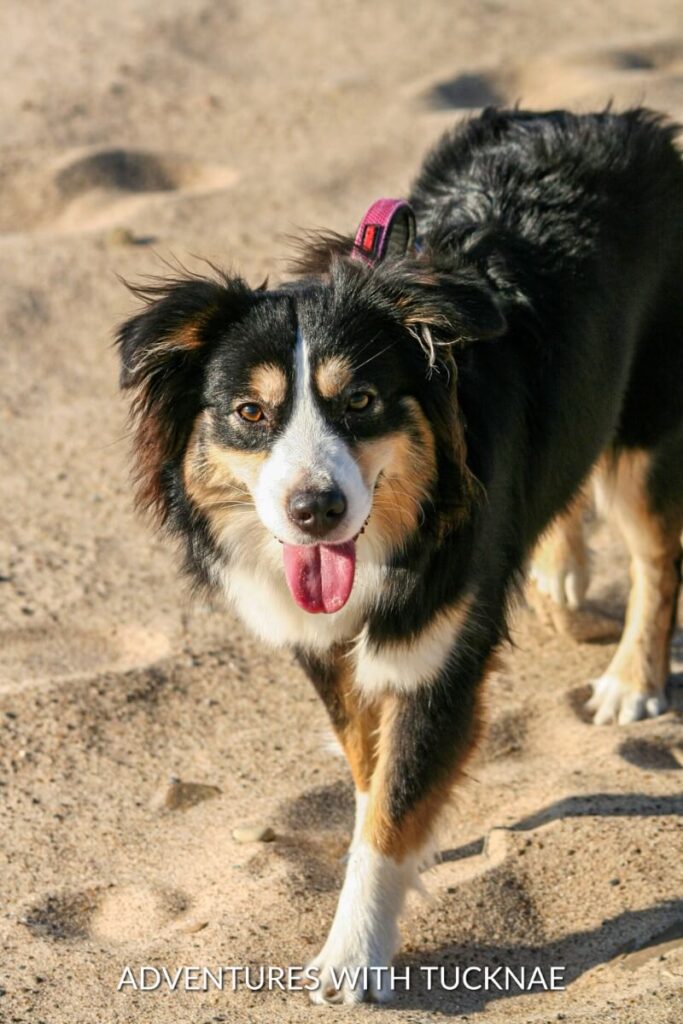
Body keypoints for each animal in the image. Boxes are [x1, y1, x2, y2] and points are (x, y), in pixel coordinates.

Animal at [117, 110, 683, 999]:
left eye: (361, 401)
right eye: (249, 412)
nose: (314, 511)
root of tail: (621, 120)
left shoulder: (436, 651)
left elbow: (395, 800)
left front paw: (352, 956)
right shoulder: (317, 639)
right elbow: (366, 763)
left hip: (647, 422)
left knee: (657, 552)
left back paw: (631, 680)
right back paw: (558, 571)